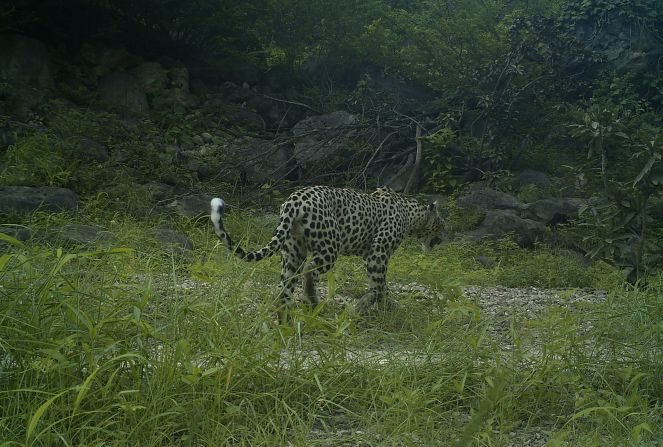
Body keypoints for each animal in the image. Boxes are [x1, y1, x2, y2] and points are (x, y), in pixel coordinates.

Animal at [210, 185, 445, 315]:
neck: (413, 215)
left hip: (292, 252)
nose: (445, 237)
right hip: (330, 248)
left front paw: (389, 307)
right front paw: (361, 308)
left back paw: (286, 318)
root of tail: (293, 201)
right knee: (309, 271)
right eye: (442, 223)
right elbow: (378, 286)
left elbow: (382, 287)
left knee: (284, 288)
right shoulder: (377, 254)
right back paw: (313, 300)